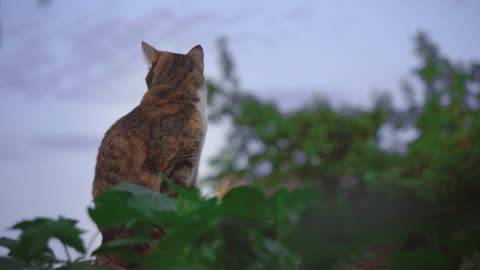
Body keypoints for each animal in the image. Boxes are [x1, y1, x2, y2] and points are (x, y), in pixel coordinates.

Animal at [93, 41, 207, 268]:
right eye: (147, 79)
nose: (146, 84)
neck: (176, 88)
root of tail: (106, 248)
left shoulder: (193, 168)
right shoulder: (178, 167)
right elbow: (174, 204)